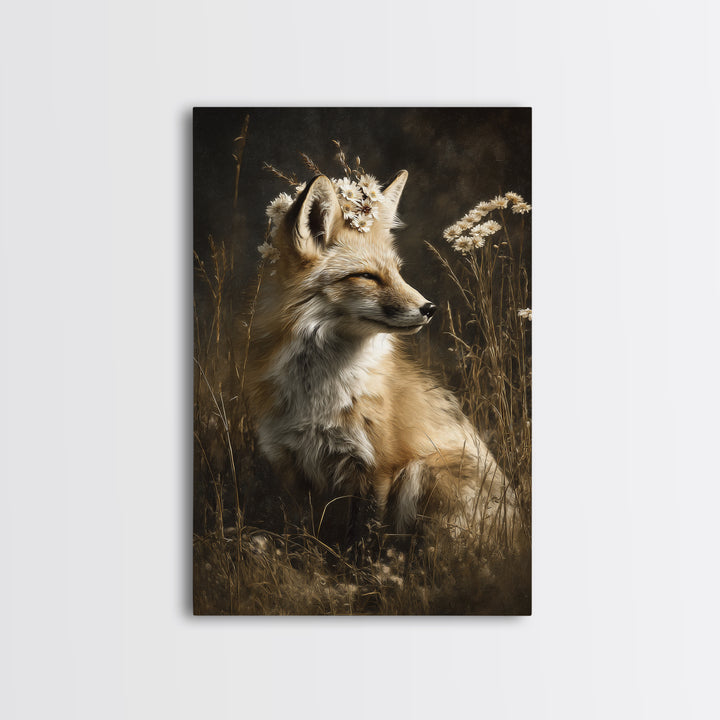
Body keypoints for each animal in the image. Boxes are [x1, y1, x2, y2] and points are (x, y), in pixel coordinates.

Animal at [247, 170, 520, 546]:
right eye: (366, 276)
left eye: (397, 272)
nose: (430, 308)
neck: (316, 393)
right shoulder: (290, 465)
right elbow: (302, 532)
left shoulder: (378, 466)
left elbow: (365, 539)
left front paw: (368, 563)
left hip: (423, 470)